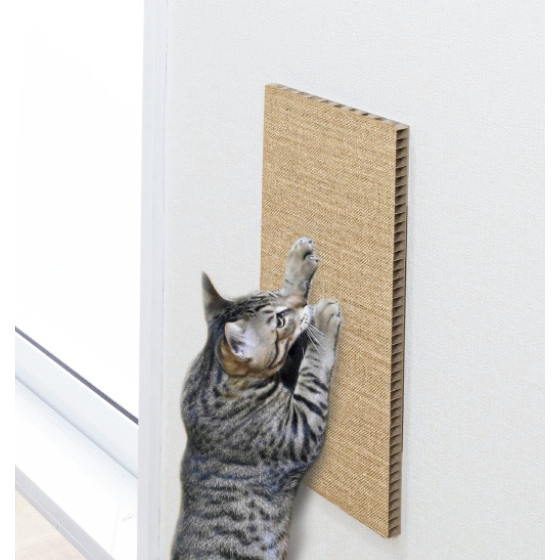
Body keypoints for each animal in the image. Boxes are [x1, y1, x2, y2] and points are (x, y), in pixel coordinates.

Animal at [172, 237, 342, 560]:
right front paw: (323, 326)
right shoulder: (299, 431)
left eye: (276, 296)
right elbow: (313, 368)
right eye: (280, 320)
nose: (303, 306)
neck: (211, 379)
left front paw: (298, 265)